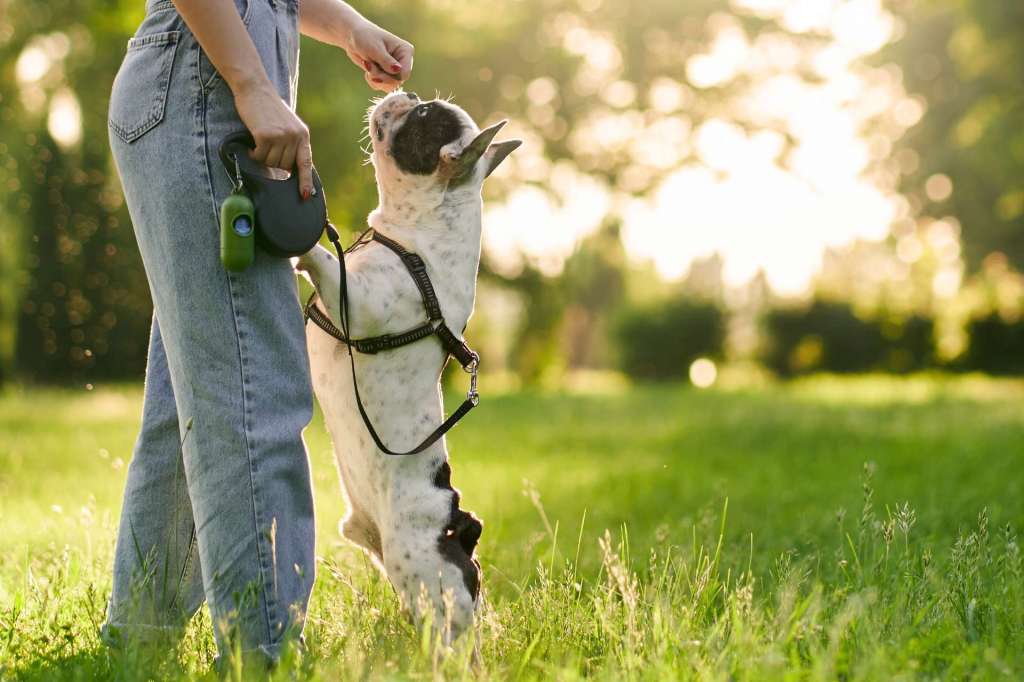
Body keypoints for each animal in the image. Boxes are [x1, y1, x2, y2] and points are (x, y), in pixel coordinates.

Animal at [296, 91, 520, 638]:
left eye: (421, 117)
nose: (408, 94)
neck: (414, 236)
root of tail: (460, 527)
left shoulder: (359, 301)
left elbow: (326, 261)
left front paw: (304, 243)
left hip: (421, 569)